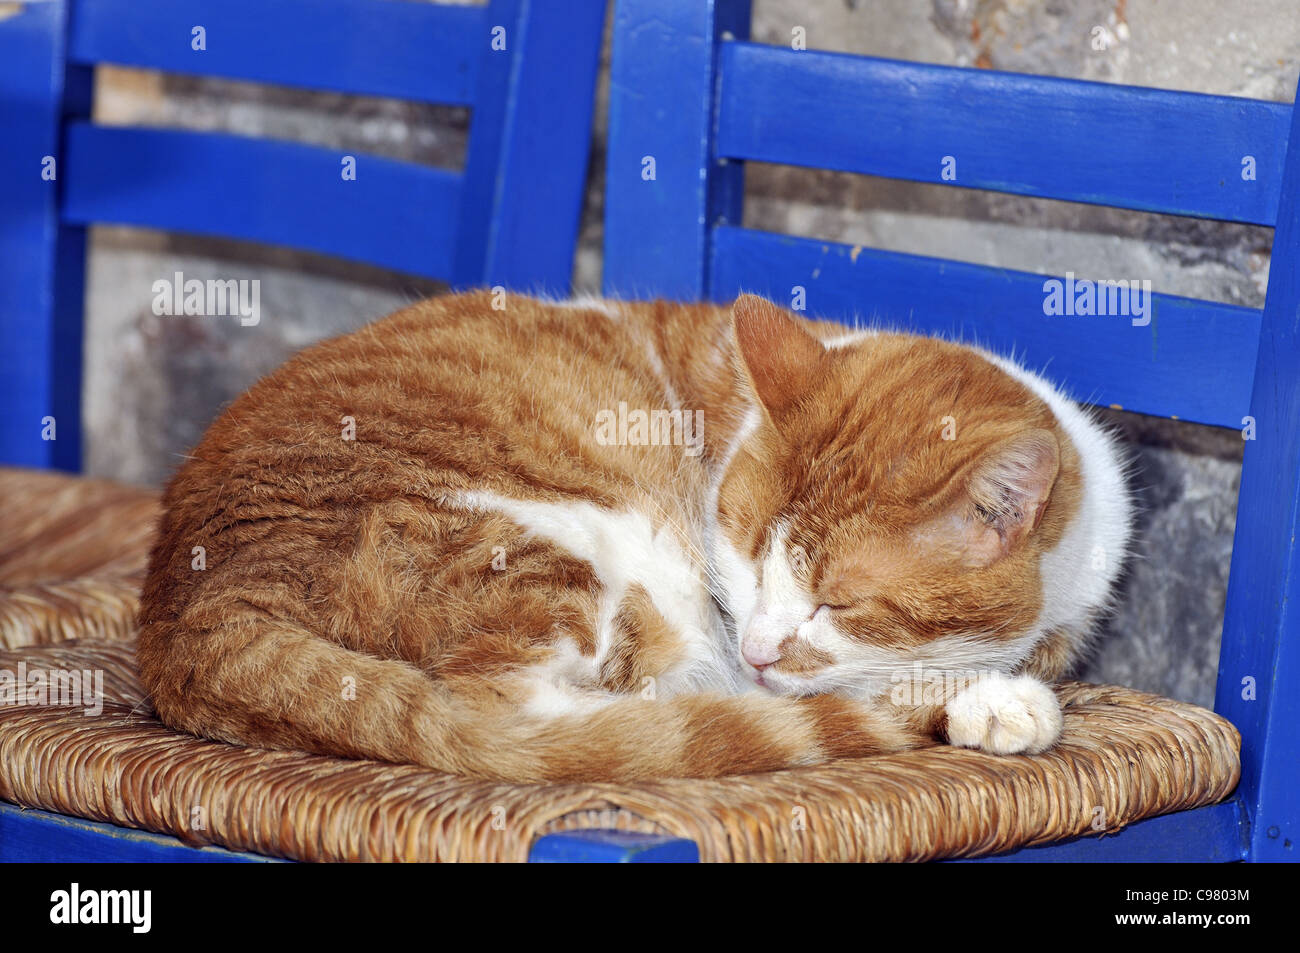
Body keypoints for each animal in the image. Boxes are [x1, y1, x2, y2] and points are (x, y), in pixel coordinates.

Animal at [134, 291, 1128, 780]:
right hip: (558, 556)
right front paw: (989, 698)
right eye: (744, 558)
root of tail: (186, 612)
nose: (757, 650)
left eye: (837, 604)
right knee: (512, 718)